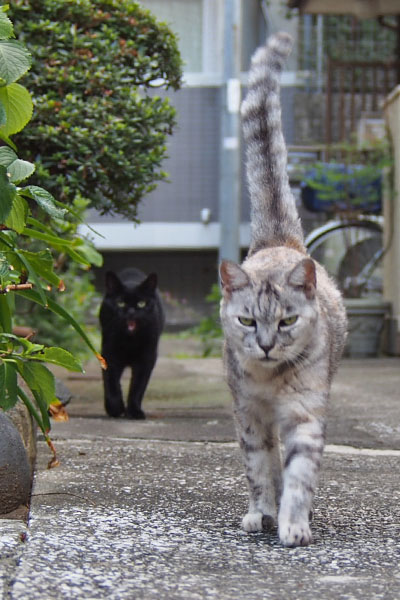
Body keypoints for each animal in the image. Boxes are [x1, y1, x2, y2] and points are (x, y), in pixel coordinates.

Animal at [99, 268, 165, 418]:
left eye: (141, 303)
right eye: (120, 303)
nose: (130, 311)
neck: (130, 341)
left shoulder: (146, 359)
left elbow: (138, 387)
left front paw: (134, 411)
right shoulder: (109, 355)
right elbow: (111, 383)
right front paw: (115, 408)